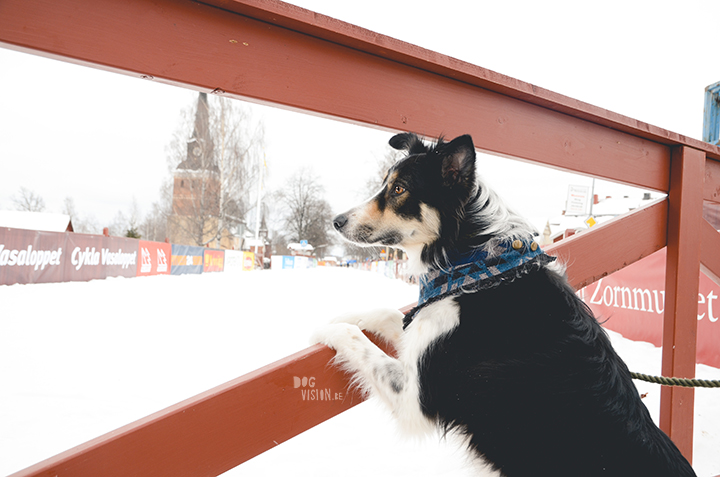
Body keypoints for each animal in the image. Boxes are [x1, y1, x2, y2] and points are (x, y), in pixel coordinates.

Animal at [312, 132, 696, 474]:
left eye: (399, 189)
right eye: (385, 185)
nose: (337, 221)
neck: (479, 269)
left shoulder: (414, 398)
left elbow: (357, 343)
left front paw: (328, 330)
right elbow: (392, 314)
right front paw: (345, 314)